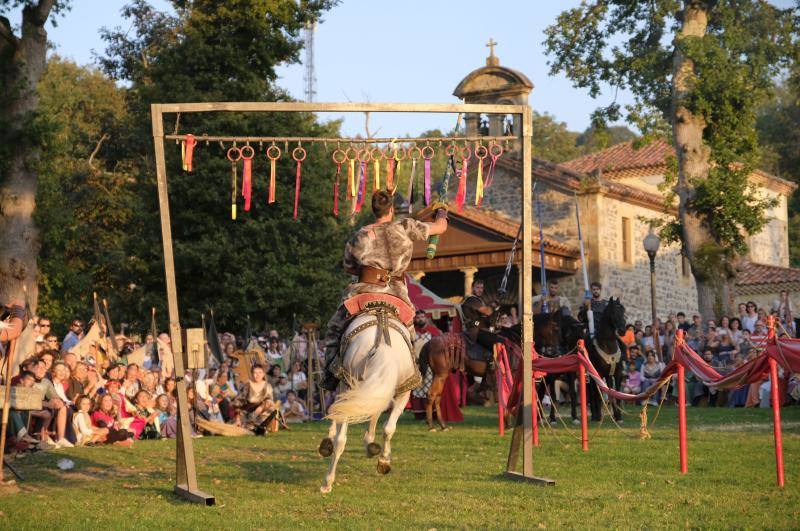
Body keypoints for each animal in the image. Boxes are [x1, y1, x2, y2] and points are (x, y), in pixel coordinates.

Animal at [318, 312, 418, 494]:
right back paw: (383, 460)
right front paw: (371, 445)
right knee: (388, 427)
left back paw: (328, 481)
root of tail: (382, 344)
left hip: (349, 384)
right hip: (402, 391)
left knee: (341, 439)